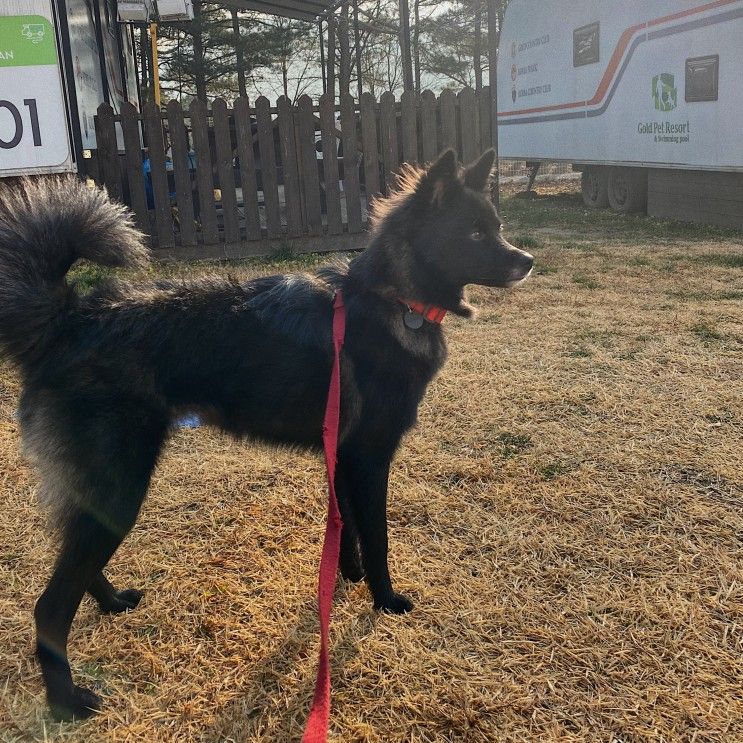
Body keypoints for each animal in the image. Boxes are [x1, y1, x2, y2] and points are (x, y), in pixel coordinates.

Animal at [0, 148, 536, 724]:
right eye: (474, 232)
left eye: (495, 227)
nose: (526, 260)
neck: (394, 299)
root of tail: (69, 319)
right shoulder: (370, 460)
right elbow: (378, 536)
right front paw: (384, 599)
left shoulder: (343, 457)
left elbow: (346, 527)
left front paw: (345, 578)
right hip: (121, 486)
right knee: (50, 603)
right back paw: (67, 701)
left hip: (105, 493)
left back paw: (112, 602)